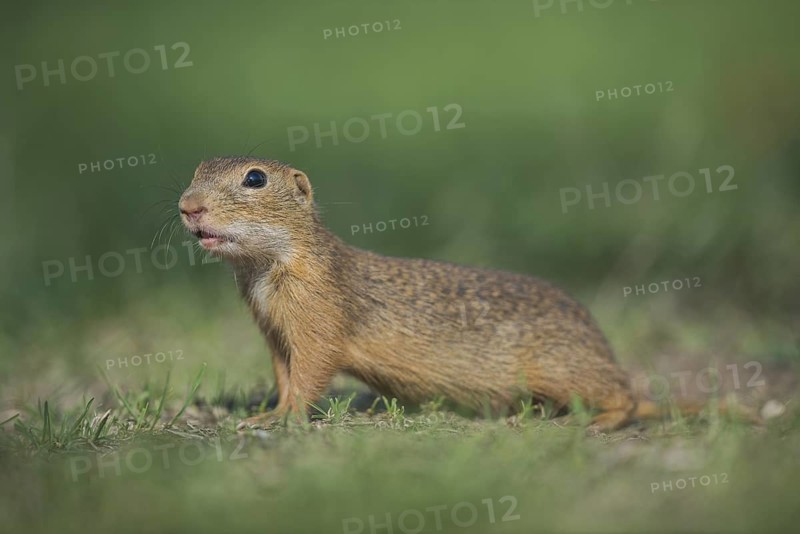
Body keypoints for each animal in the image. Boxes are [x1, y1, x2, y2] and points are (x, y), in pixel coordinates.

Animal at [178, 157, 745, 431]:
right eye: (197, 170)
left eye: (255, 178)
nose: (187, 206)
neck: (264, 272)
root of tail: (600, 345)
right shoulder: (274, 332)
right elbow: (283, 374)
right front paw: (266, 411)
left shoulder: (319, 320)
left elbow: (311, 374)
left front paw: (275, 419)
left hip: (561, 366)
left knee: (625, 397)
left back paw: (589, 425)